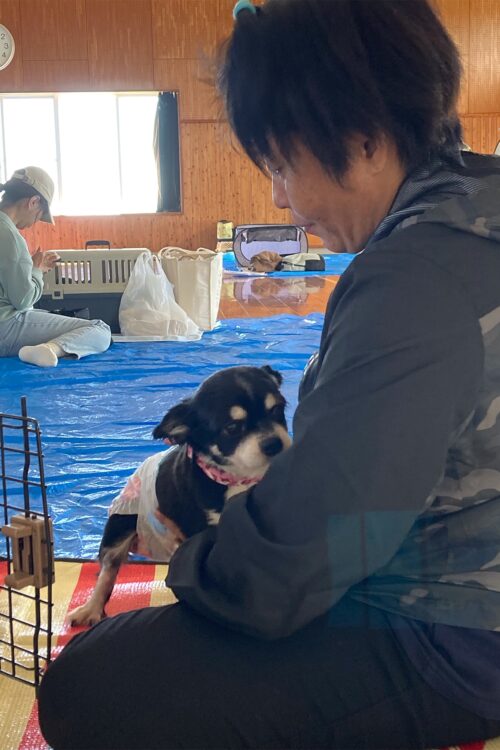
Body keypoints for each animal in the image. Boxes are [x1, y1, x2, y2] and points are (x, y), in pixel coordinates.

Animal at [68, 366, 292, 628]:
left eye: (277, 410)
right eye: (232, 428)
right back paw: (90, 609)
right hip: (120, 525)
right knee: (108, 569)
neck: (238, 478)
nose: (274, 443)